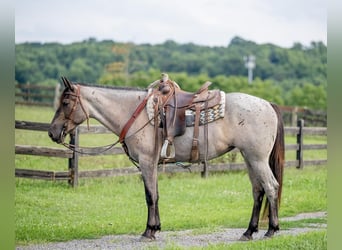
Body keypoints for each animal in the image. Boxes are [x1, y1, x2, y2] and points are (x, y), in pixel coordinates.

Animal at [47, 75, 284, 240]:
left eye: (65, 103)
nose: (52, 132)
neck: (135, 113)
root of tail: (269, 105)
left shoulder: (146, 162)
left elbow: (150, 196)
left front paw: (148, 231)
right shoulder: (151, 164)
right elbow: (157, 195)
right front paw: (156, 228)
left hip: (257, 159)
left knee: (271, 187)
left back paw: (271, 230)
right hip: (249, 158)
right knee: (258, 191)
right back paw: (249, 232)